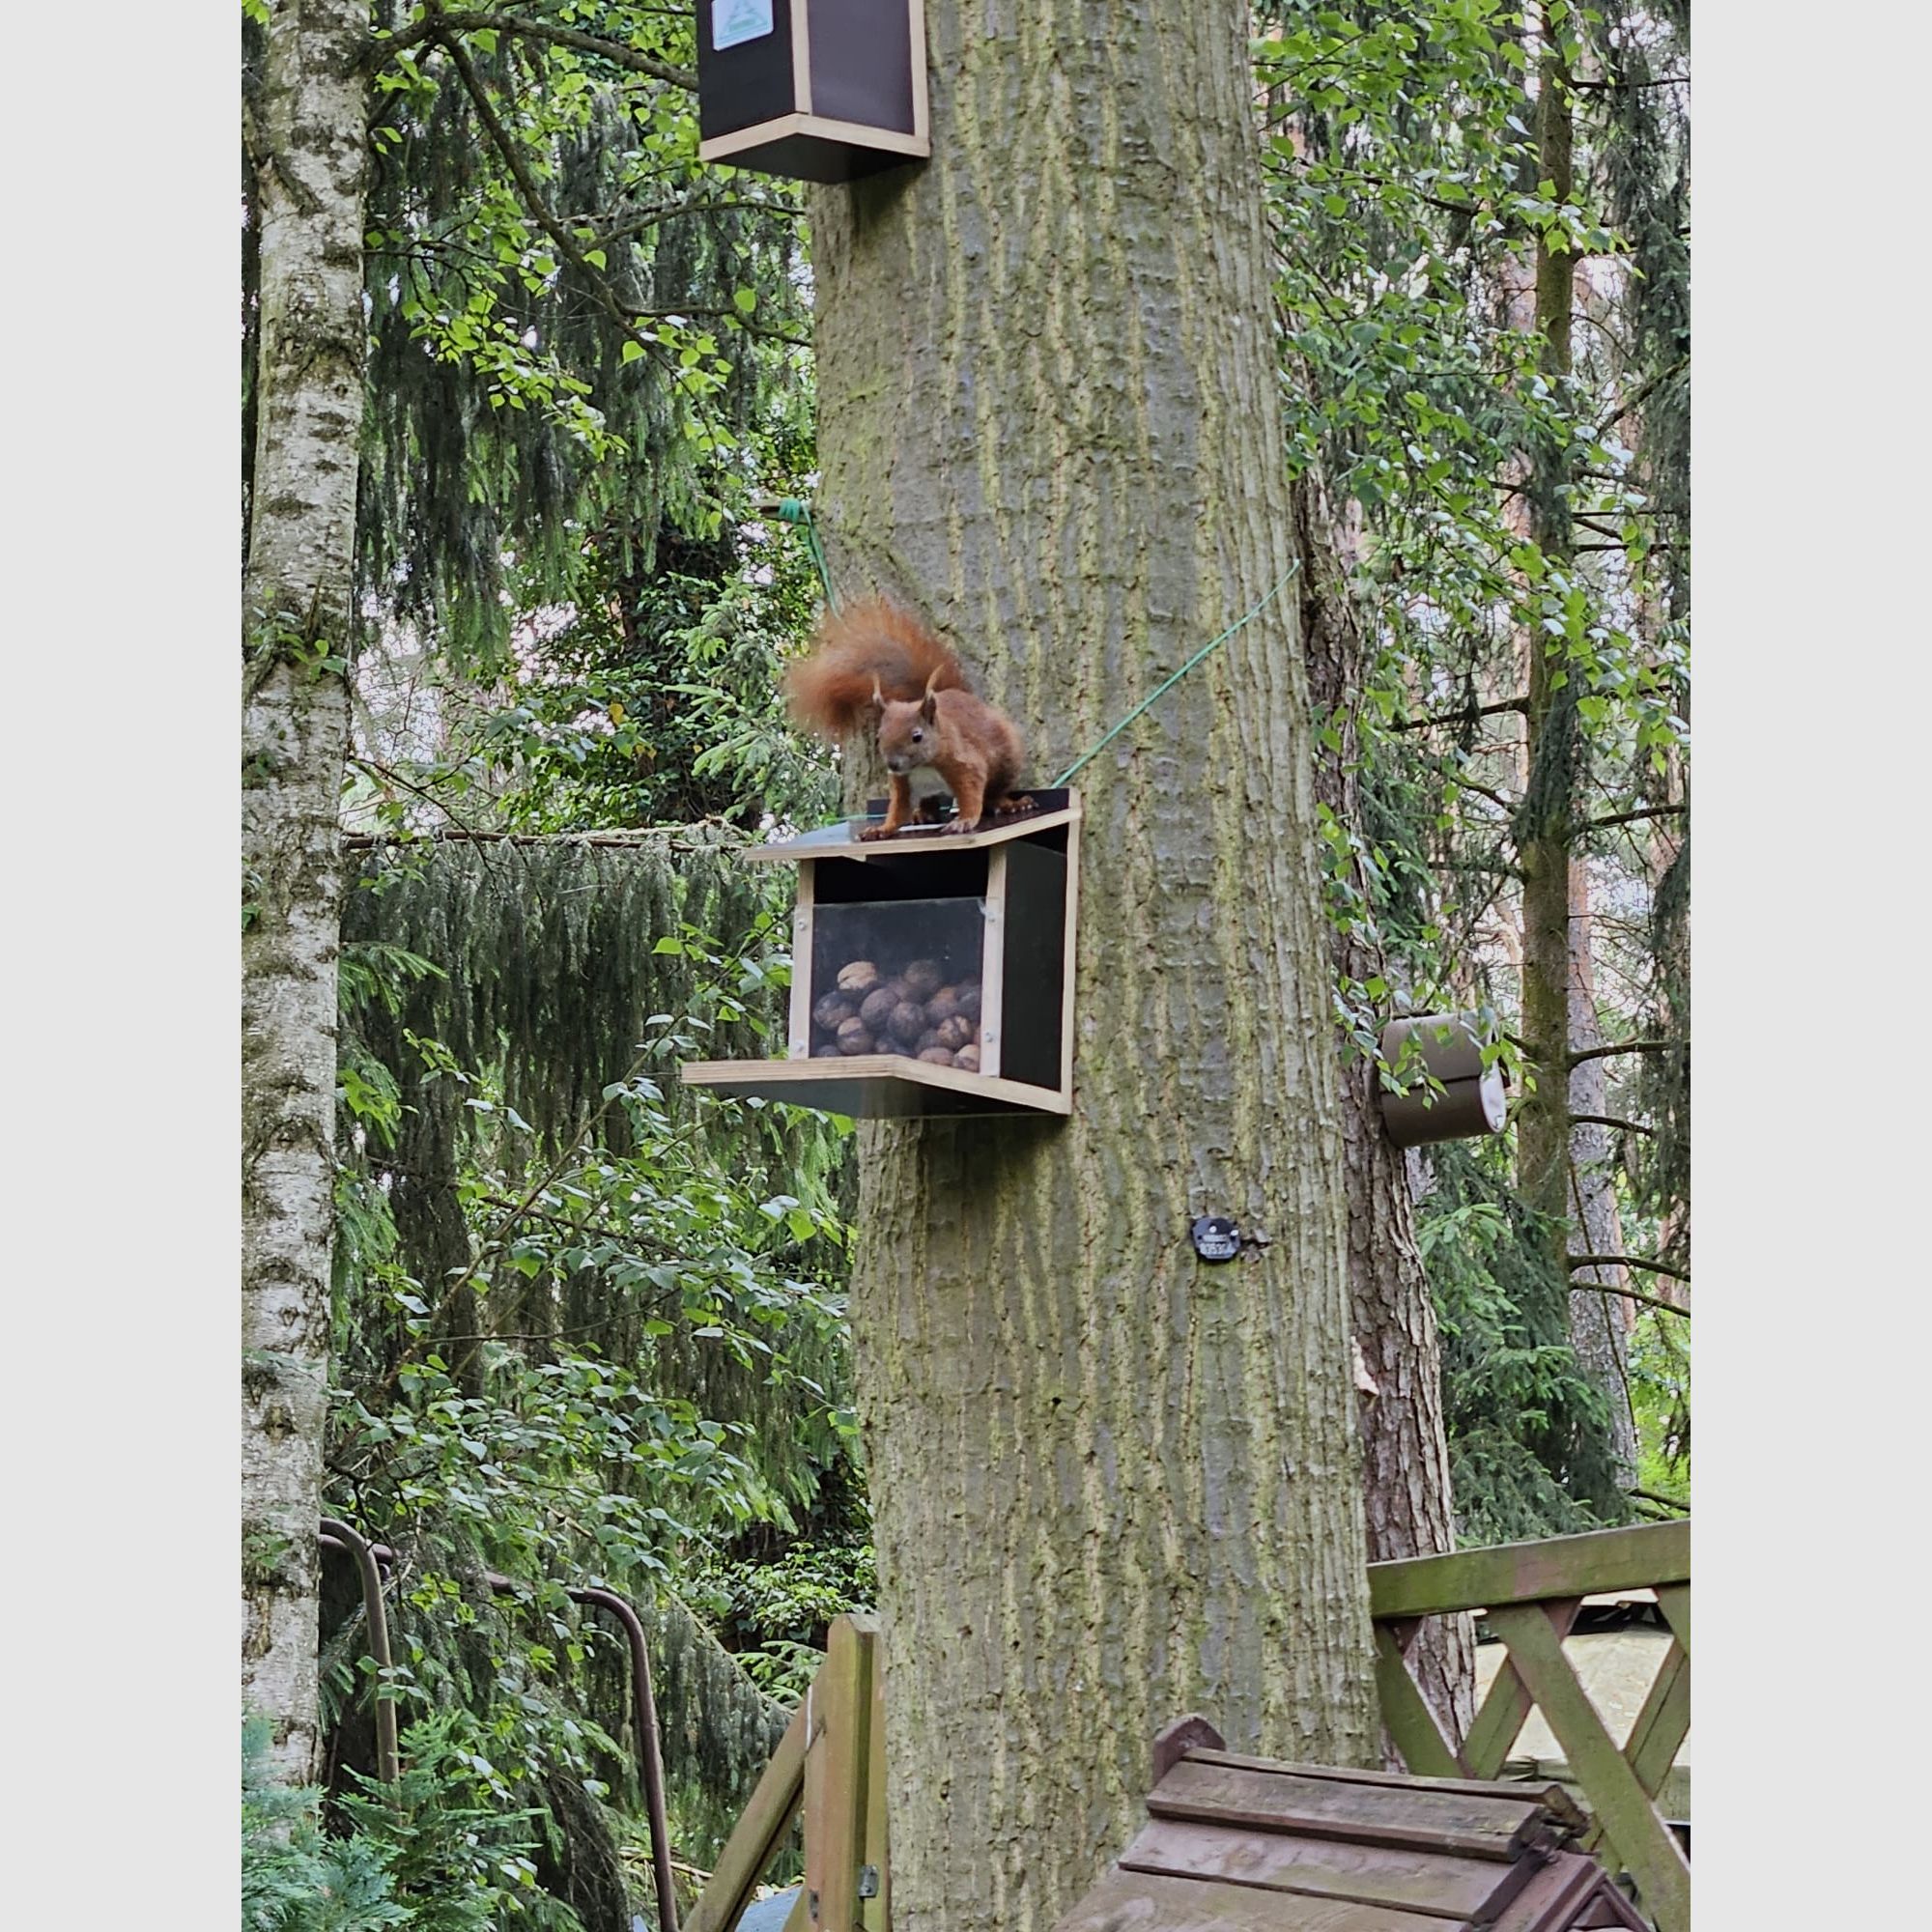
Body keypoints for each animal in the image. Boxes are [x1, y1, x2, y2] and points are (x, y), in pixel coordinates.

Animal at [784, 598, 1031, 839]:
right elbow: (898, 811)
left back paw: (1010, 804)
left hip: (1007, 761)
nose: (892, 764)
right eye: (878, 737)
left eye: (917, 736)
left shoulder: (965, 764)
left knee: (994, 792)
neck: (923, 766)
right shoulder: (903, 782)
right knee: (929, 802)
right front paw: (880, 829)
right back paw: (923, 814)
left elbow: (972, 794)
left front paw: (963, 821)